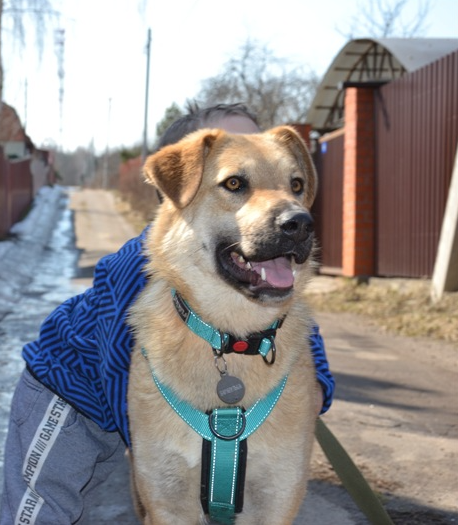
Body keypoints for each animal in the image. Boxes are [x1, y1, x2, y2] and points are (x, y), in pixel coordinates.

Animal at [126, 125, 318, 520]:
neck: (233, 336)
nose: (301, 224)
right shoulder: (167, 502)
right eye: (234, 183)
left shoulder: (276, 499)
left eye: (296, 184)